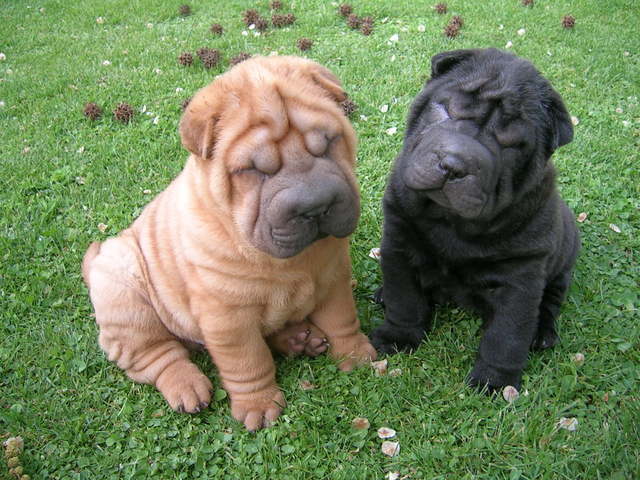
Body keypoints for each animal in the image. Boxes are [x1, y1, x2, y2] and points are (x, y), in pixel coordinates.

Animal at [82, 55, 378, 432]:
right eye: (253, 170)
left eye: (327, 143)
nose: (316, 206)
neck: (290, 263)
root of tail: (94, 263)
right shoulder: (228, 317)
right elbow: (249, 360)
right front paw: (259, 405)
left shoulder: (333, 278)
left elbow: (342, 319)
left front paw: (356, 355)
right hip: (124, 297)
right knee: (156, 355)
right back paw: (187, 387)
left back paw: (300, 338)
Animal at [370, 48, 580, 392]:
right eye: (445, 109)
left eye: (510, 145)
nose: (454, 164)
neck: (450, 222)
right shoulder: (399, 245)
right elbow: (405, 300)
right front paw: (398, 336)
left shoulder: (521, 278)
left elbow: (506, 336)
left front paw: (495, 382)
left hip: (563, 262)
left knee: (551, 299)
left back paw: (542, 333)